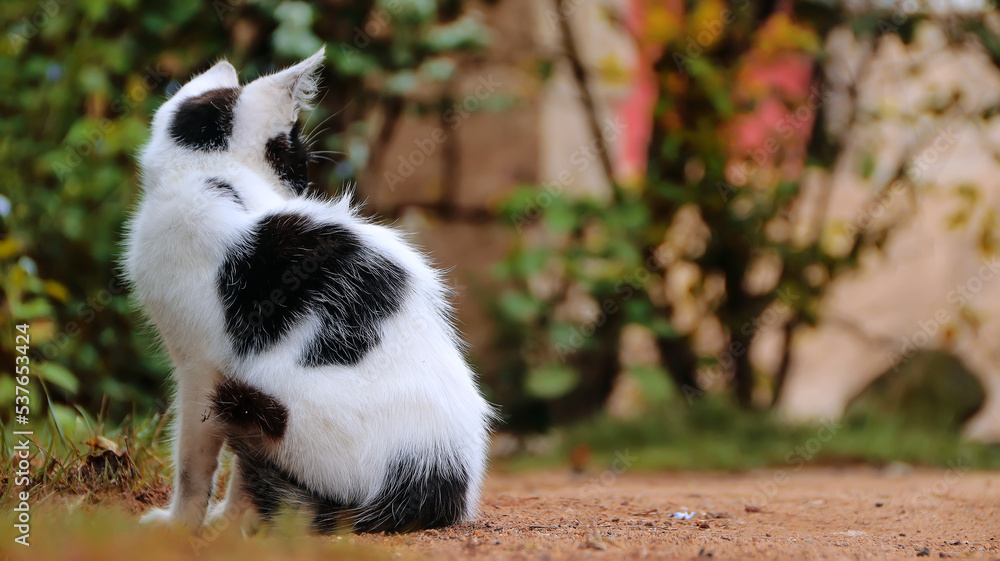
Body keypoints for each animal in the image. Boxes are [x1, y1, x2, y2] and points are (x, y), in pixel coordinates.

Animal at [123, 48, 494, 532]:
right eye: (297, 163)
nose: (302, 187)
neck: (209, 177)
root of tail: (434, 480)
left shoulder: (202, 365)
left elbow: (195, 461)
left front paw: (185, 524)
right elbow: (237, 471)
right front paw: (227, 518)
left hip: (265, 399)